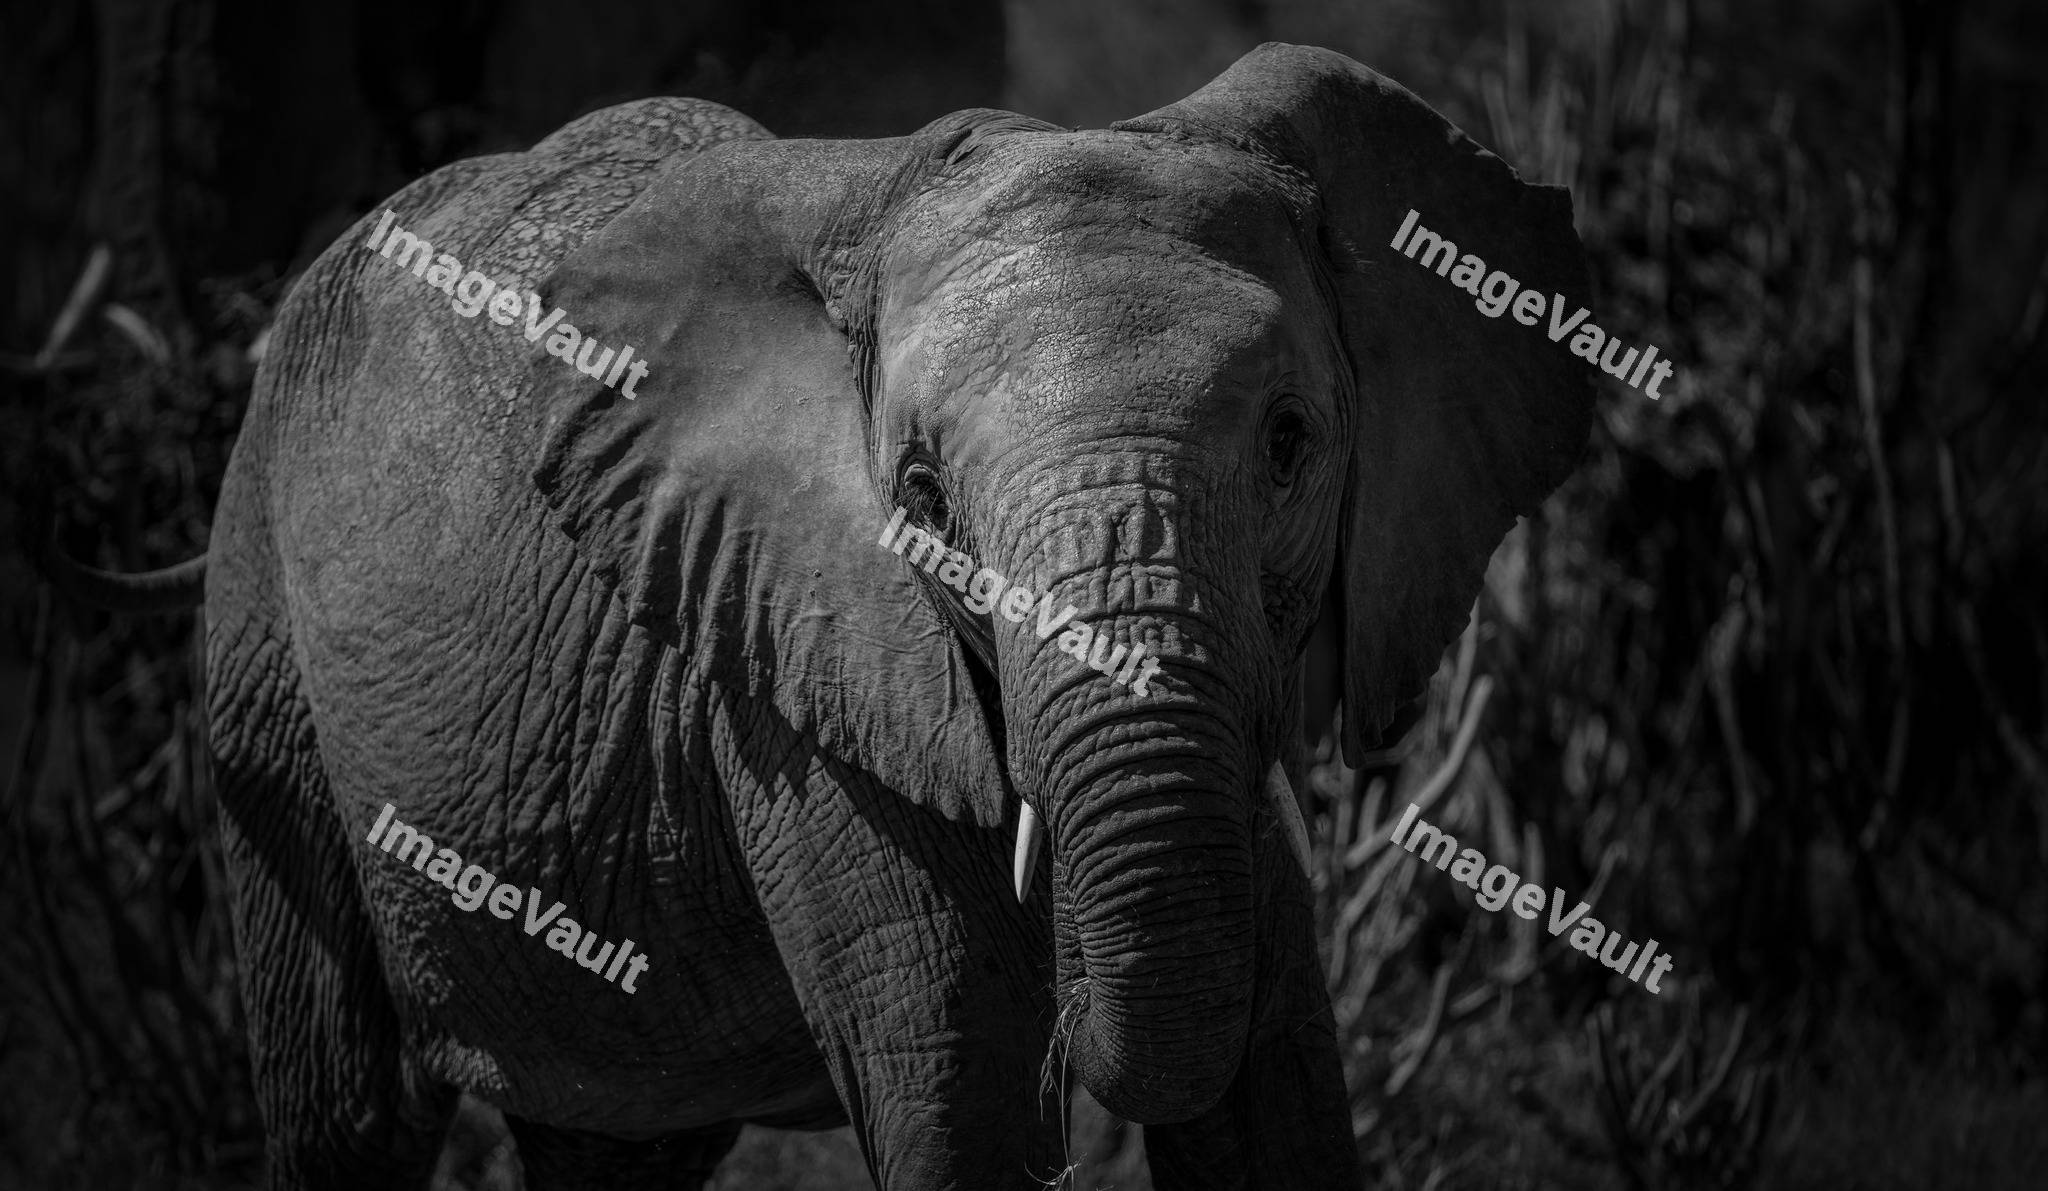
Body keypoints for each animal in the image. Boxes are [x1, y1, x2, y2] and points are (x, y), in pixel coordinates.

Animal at [44, 41, 1592, 1191]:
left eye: (1287, 444)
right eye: (919, 492)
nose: (1077, 1056)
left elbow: (1278, 1087)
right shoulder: (789, 687)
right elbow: (952, 1091)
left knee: (617, 1144)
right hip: (260, 652)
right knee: (345, 1114)